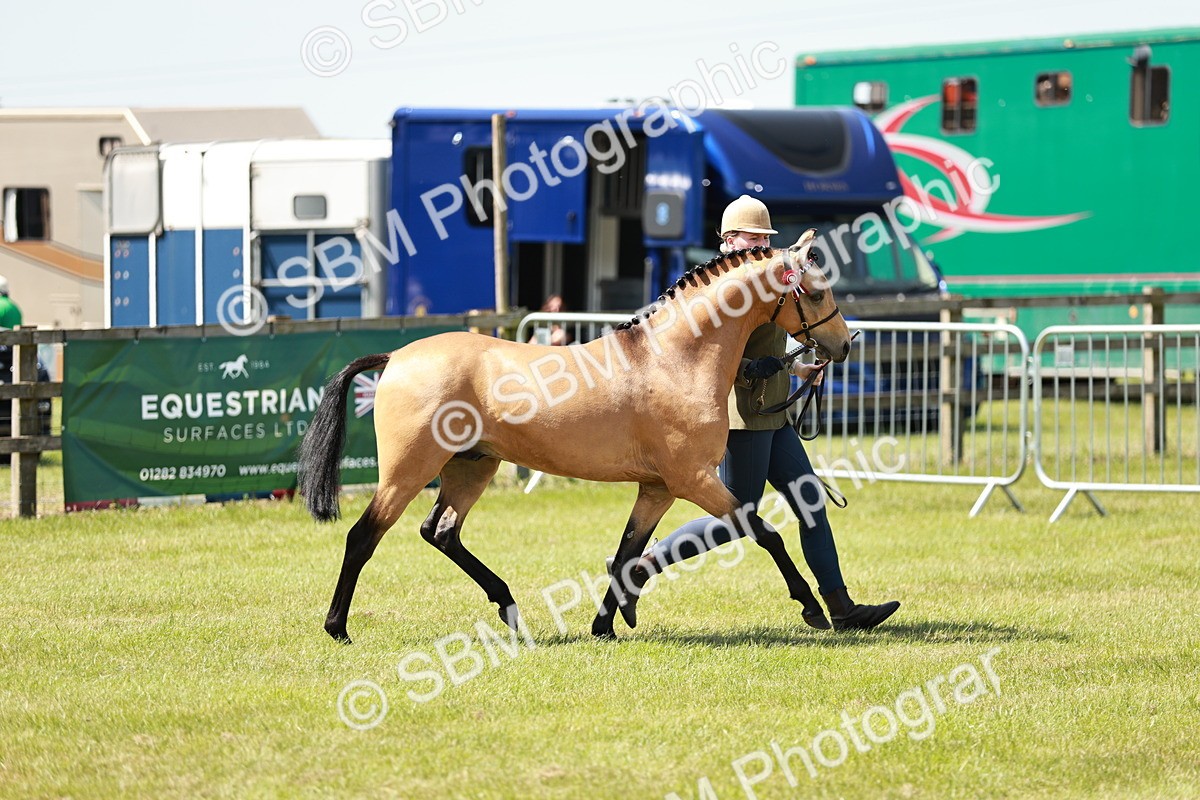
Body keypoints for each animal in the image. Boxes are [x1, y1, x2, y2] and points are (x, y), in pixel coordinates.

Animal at [298, 229, 852, 643]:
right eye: (816, 291)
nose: (844, 344)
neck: (676, 358)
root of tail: (396, 357)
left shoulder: (657, 488)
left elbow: (628, 553)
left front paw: (605, 625)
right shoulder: (694, 480)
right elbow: (765, 533)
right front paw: (811, 609)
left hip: (472, 466)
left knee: (441, 532)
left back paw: (509, 608)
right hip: (410, 470)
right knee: (364, 536)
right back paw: (338, 628)